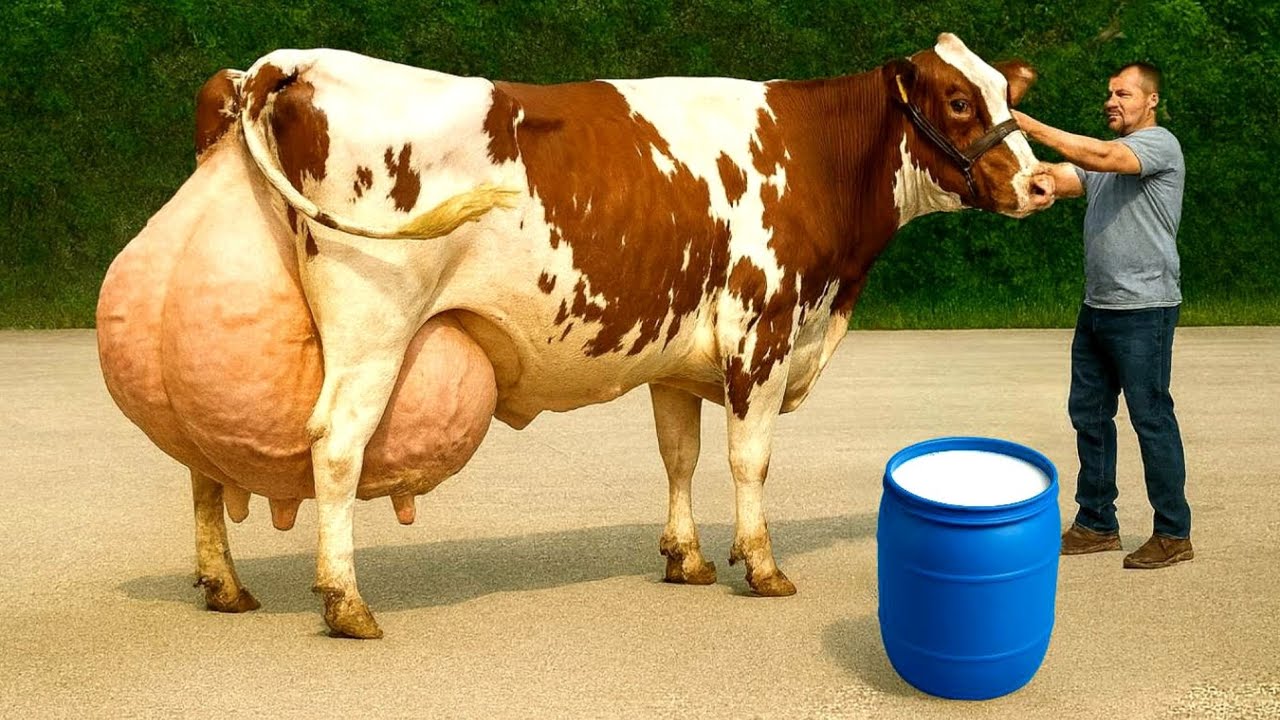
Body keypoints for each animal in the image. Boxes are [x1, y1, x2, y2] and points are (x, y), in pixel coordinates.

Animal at [98, 33, 1055, 639]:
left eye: (1011, 95)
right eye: (959, 99)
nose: (1044, 183)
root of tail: (290, 61)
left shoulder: (681, 351)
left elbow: (678, 454)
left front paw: (686, 559)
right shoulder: (763, 331)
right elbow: (748, 460)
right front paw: (761, 567)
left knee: (202, 459)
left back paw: (226, 587)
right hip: (374, 318)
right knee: (335, 445)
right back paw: (347, 603)